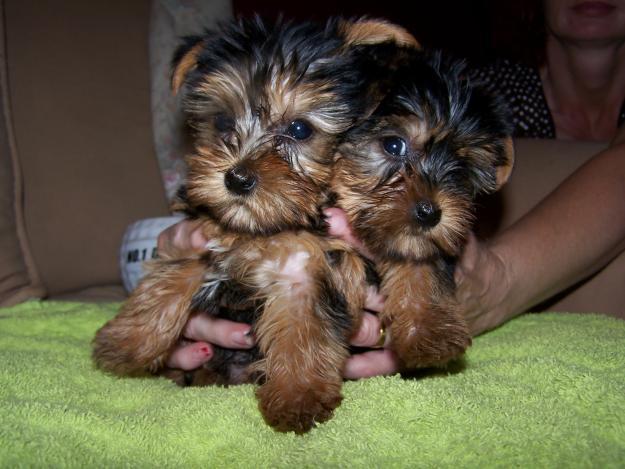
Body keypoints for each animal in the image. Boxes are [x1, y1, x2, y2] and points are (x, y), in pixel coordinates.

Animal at [92, 16, 414, 434]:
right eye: (222, 121)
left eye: (299, 130)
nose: (236, 178)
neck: (263, 226)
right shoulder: (200, 233)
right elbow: (170, 275)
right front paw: (127, 343)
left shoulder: (307, 266)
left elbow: (303, 327)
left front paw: (297, 397)